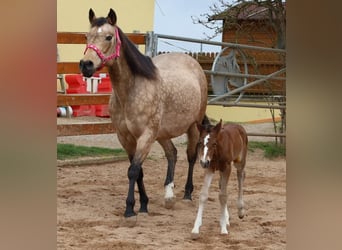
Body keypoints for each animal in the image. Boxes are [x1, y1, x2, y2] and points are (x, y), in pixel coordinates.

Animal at [79, 7, 208, 220]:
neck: (131, 91)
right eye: (87, 36)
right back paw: (169, 195)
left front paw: (130, 209)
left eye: (108, 37)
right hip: (162, 132)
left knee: (190, 156)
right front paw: (144, 205)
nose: (86, 65)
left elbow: (133, 170)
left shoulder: (146, 135)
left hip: (193, 125)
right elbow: (138, 171)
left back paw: (187, 194)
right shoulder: (126, 137)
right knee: (172, 153)